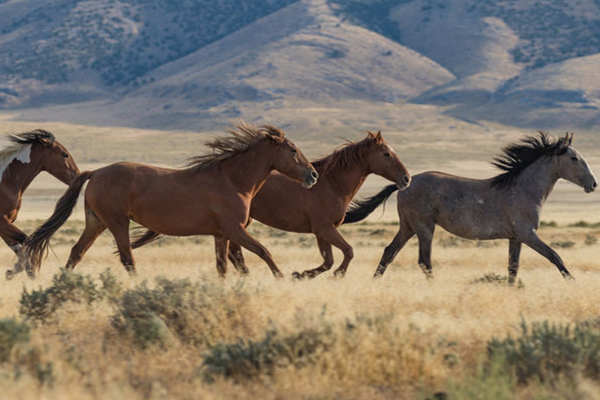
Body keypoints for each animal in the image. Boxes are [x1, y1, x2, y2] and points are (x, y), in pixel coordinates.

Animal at [1, 130, 81, 280]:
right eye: (65, 154)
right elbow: (25, 240)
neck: (6, 181)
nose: (77, 175)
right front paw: (20, 270)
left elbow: (19, 246)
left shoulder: (6, 223)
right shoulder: (2, 221)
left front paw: (19, 271)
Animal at [20, 122, 318, 278]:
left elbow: (223, 266)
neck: (232, 180)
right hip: (117, 223)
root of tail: (95, 173)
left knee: (76, 253)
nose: (313, 175)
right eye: (293, 150)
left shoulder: (221, 234)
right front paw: (282, 278)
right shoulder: (234, 229)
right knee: (127, 259)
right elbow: (264, 251)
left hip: (96, 222)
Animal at [132, 130, 412, 278]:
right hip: (240, 224)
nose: (406, 179)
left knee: (234, 253)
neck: (331, 183)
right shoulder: (324, 228)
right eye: (386, 154)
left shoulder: (321, 231)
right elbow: (347, 252)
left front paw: (302, 275)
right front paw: (328, 276)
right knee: (236, 252)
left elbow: (329, 260)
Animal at [344, 133, 596, 282]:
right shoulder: (528, 234)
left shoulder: (516, 238)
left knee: (389, 252)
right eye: (574, 158)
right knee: (424, 261)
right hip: (424, 227)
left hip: (408, 227)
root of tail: (404, 184)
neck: (524, 189)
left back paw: (374, 282)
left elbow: (513, 268)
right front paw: (572, 282)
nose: (593, 184)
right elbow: (555, 256)